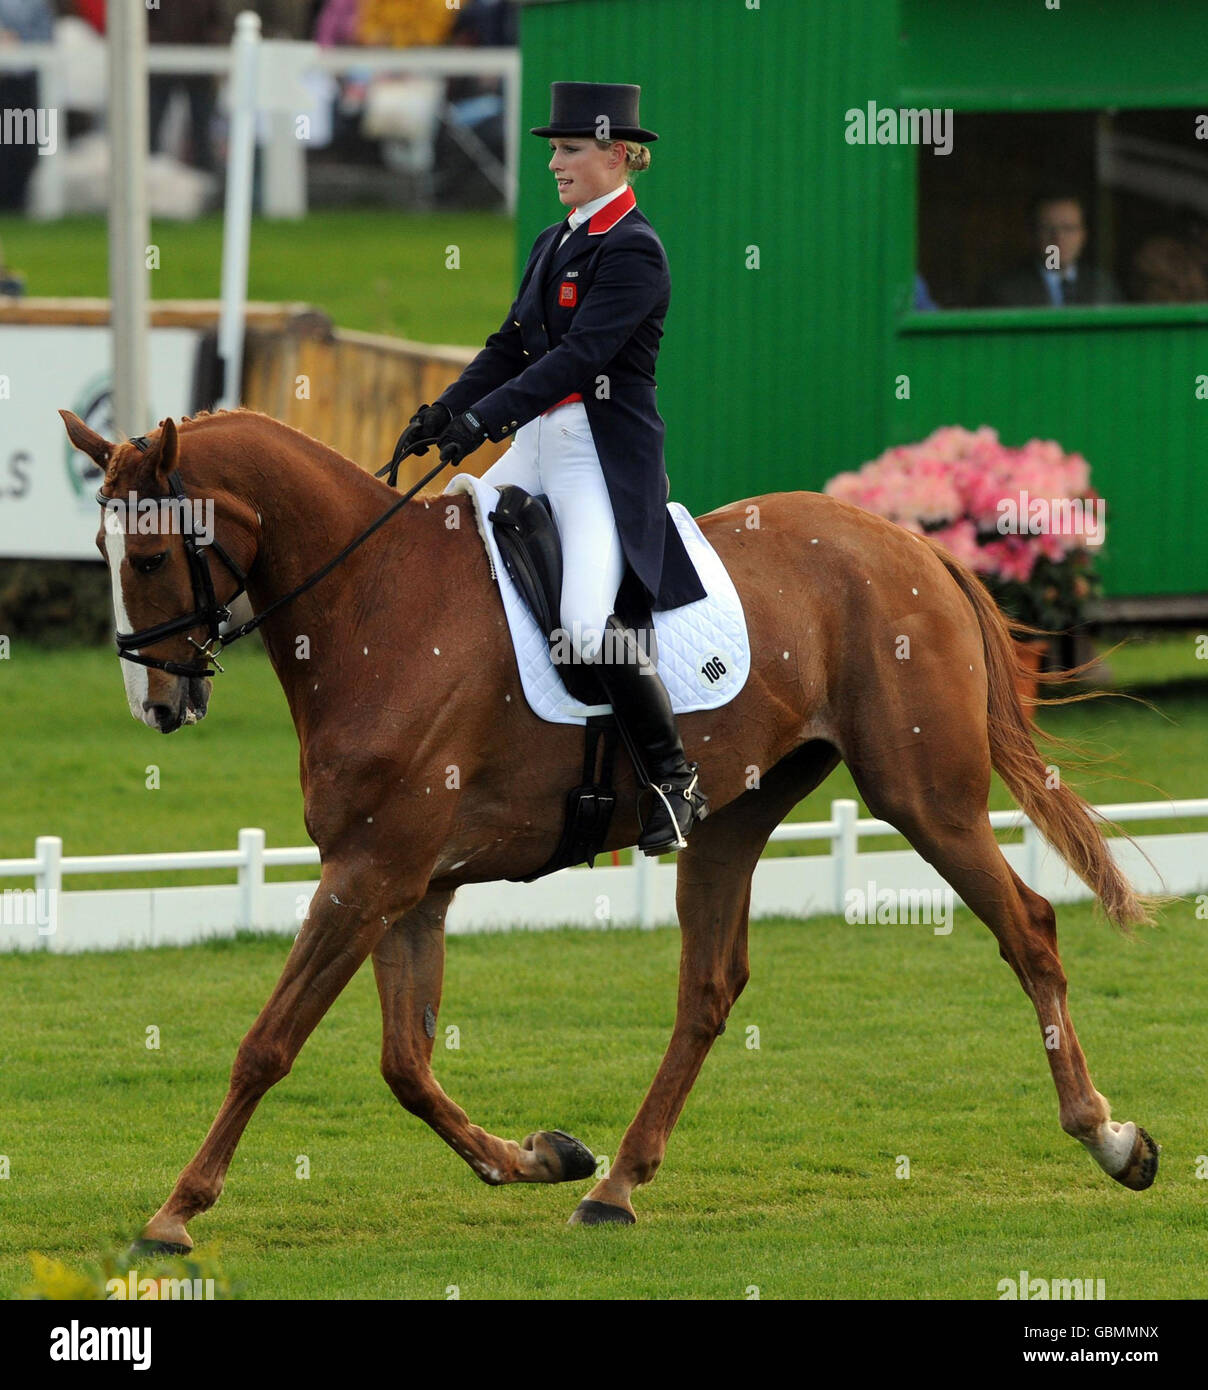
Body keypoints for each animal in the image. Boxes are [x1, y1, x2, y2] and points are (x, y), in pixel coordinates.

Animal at [60, 405, 1159, 1248]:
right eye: (103, 553)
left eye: (150, 556)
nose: (157, 705)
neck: (373, 607)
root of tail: (909, 542)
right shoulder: (407, 886)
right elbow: (406, 1066)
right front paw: (538, 1155)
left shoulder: (369, 876)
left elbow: (269, 1044)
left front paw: (173, 1213)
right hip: (732, 819)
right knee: (707, 990)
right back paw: (613, 1184)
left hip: (923, 795)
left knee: (1027, 929)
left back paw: (1110, 1139)